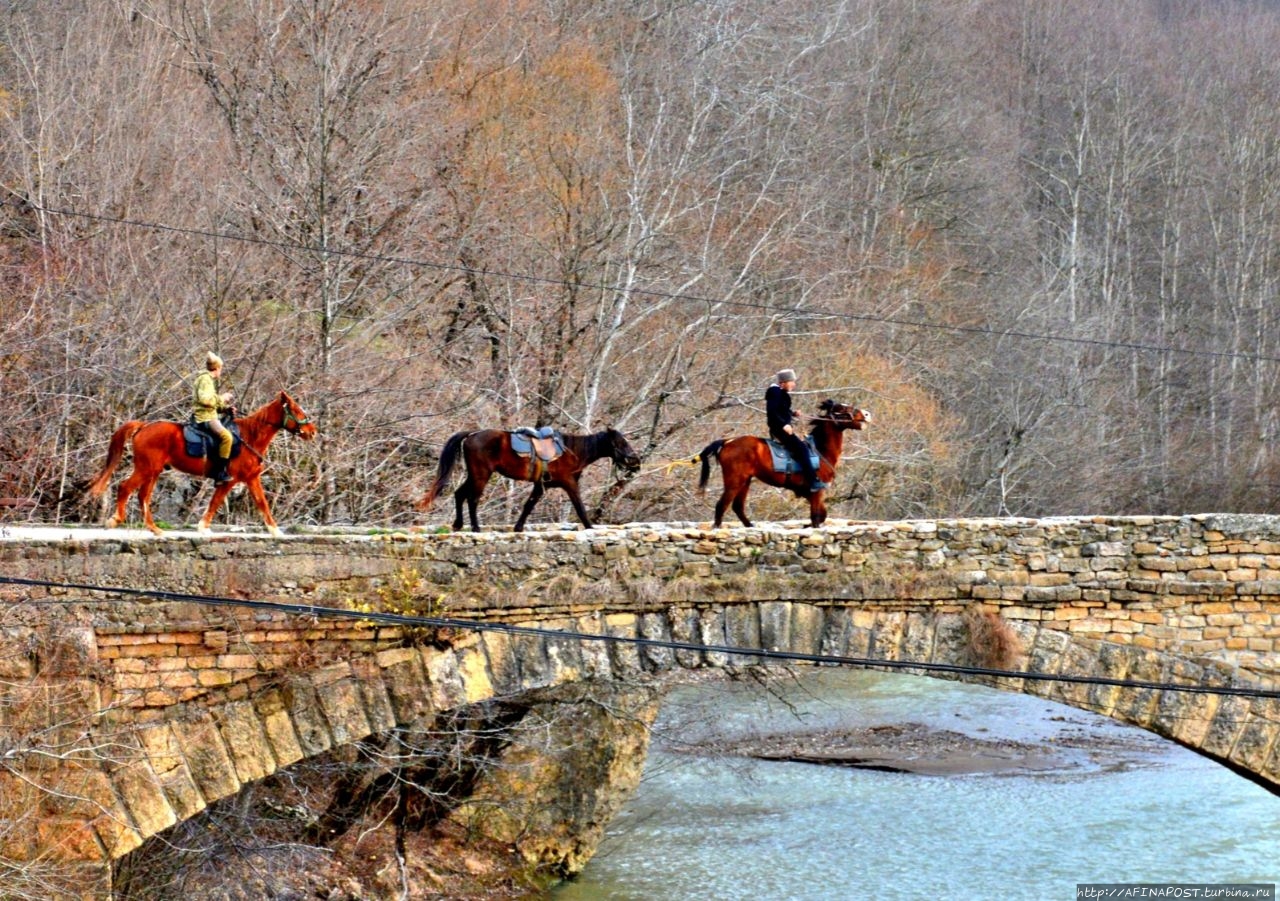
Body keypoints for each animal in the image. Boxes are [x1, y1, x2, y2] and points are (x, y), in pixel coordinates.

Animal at [88, 391, 317, 534]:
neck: (250, 436)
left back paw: (154, 529)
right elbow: (216, 502)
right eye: (297, 411)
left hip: (153, 471)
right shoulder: (230, 480)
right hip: (146, 468)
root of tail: (144, 425)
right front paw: (203, 527)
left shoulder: (252, 479)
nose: (312, 432)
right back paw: (116, 519)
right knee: (125, 487)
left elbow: (262, 503)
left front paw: (275, 531)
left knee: (143, 496)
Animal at [417, 427, 640, 532]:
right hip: (481, 474)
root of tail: (472, 434)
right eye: (621, 442)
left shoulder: (541, 486)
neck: (572, 451)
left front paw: (518, 528)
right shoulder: (569, 483)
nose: (636, 462)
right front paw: (590, 527)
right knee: (472, 499)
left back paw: (458, 524)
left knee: (459, 494)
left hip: (474, 475)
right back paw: (475, 528)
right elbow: (579, 506)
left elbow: (528, 505)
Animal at [701, 401, 870, 527]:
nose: (867, 414)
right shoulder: (817, 491)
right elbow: (816, 517)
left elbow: (822, 515)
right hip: (735, 481)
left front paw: (806, 526)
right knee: (721, 505)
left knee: (737, 506)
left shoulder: (809, 493)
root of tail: (727, 442)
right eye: (843, 408)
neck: (821, 451)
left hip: (745, 480)